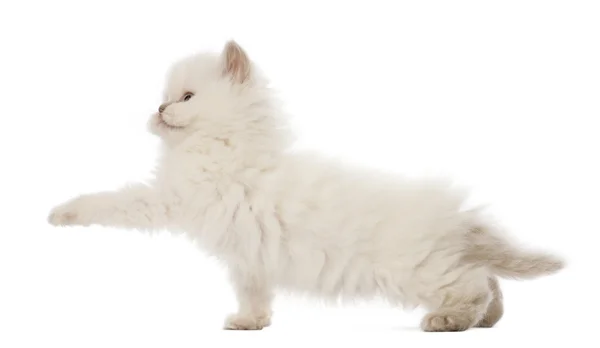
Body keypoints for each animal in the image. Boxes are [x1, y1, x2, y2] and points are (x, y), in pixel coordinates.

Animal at [49, 40, 564, 332]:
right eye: (164, 97)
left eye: (186, 97)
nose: (158, 110)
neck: (227, 142)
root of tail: (455, 217)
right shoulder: (248, 258)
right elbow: (254, 293)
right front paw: (251, 323)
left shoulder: (167, 200)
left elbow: (111, 202)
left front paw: (62, 212)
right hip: (438, 262)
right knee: (490, 280)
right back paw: (487, 320)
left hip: (414, 270)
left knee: (473, 283)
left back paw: (449, 322)